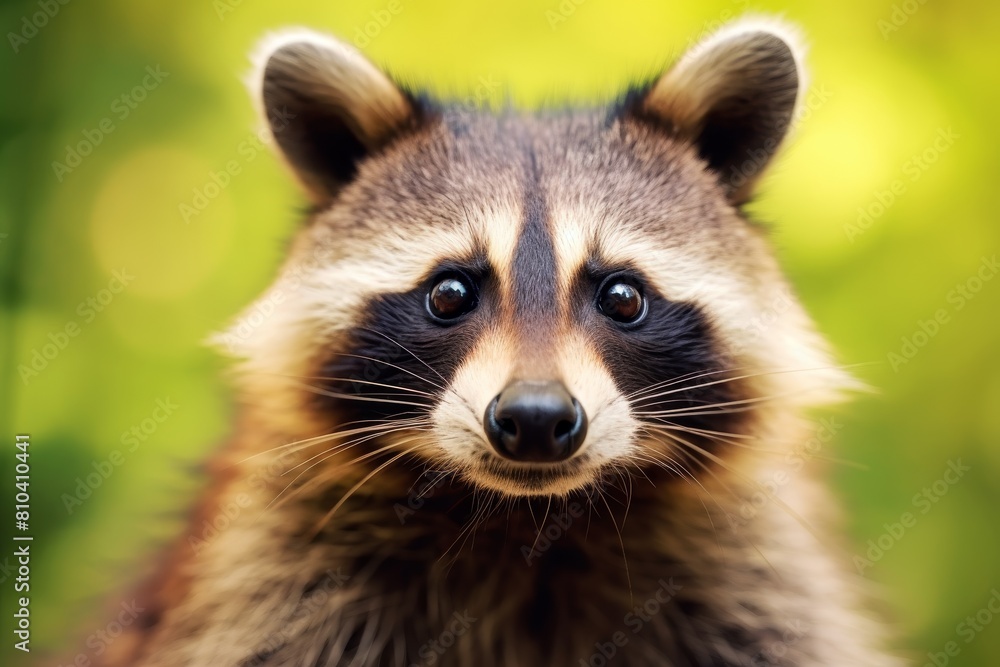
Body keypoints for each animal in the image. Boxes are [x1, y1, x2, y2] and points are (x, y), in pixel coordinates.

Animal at [95, 14, 908, 667]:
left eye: (622, 296)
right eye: (450, 292)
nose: (537, 420)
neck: (525, 523)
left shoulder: (756, 586)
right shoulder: (274, 576)